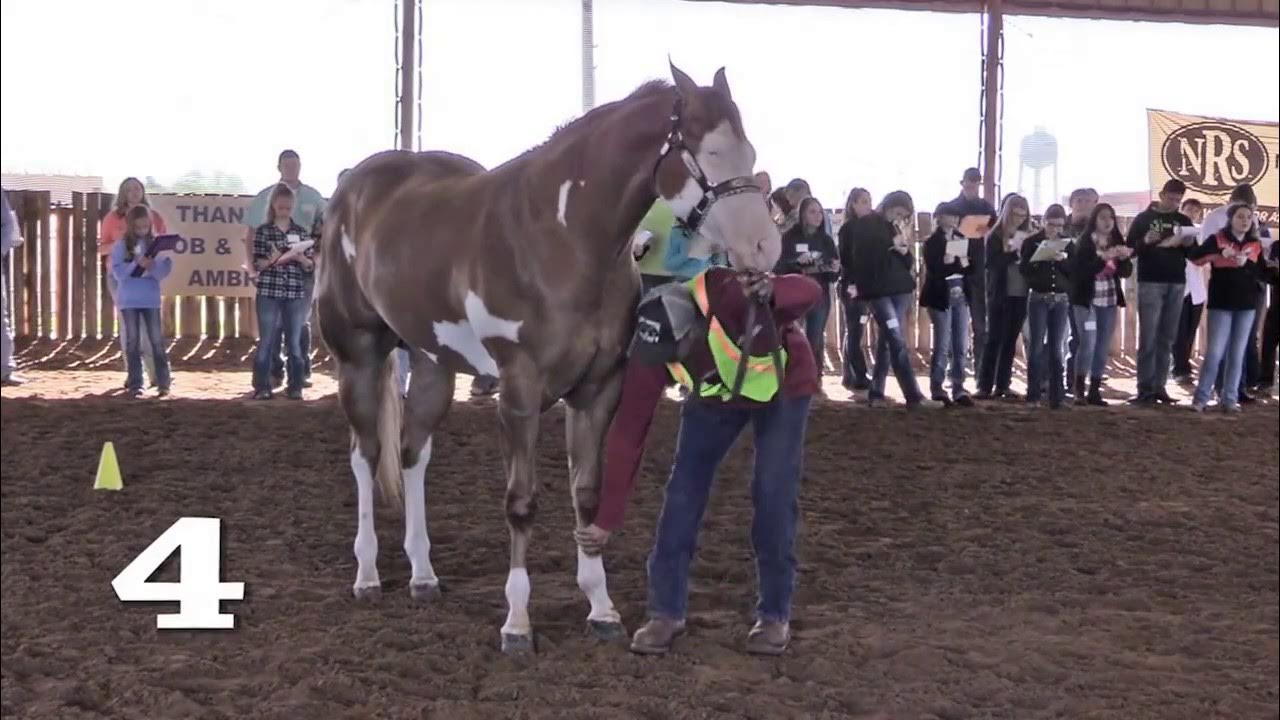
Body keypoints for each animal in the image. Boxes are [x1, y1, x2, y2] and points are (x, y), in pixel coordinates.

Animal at [314, 62, 781, 654]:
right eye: (713, 151)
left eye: (750, 151)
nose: (766, 247)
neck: (560, 239)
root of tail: (352, 188)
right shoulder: (518, 393)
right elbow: (521, 503)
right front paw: (517, 623)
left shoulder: (598, 390)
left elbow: (588, 494)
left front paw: (602, 609)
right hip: (359, 355)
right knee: (367, 454)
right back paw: (368, 575)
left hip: (431, 361)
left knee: (412, 452)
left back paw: (422, 576)